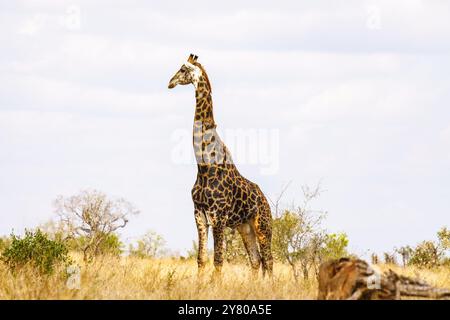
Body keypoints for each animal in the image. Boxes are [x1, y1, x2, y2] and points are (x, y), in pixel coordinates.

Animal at [169, 54, 274, 276]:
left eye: (183, 69)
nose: (170, 83)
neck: (204, 166)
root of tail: (265, 200)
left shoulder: (218, 216)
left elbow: (218, 260)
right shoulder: (199, 215)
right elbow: (201, 259)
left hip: (262, 225)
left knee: (268, 260)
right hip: (245, 227)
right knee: (256, 260)